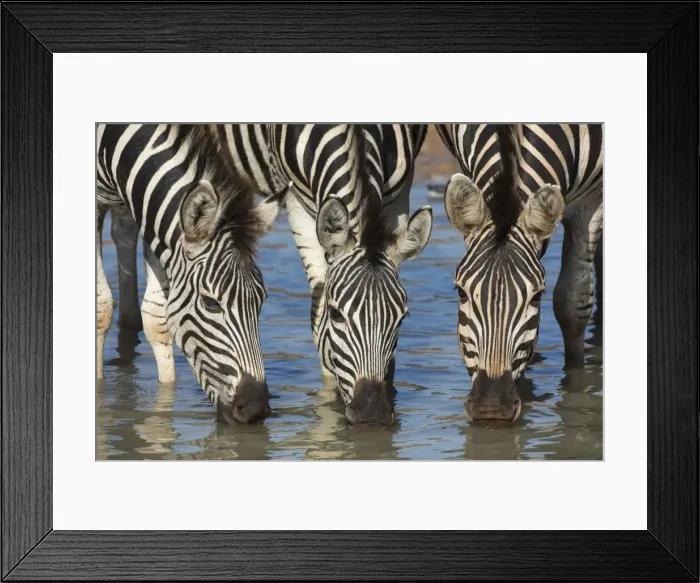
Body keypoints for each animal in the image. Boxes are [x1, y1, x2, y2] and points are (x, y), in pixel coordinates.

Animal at [96, 124, 287, 424]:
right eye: (210, 303)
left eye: (261, 300)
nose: (255, 409)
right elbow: (101, 308)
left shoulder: (150, 214)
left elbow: (157, 318)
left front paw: (165, 401)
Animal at [206, 124, 433, 425]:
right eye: (337, 314)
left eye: (402, 317)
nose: (372, 414)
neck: (357, 136)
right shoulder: (296, 204)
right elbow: (318, 321)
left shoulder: (400, 195)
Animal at [436, 124, 602, 424]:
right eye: (461, 293)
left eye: (536, 297)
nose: (491, 409)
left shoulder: (593, 198)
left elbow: (572, 304)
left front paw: (576, 392)